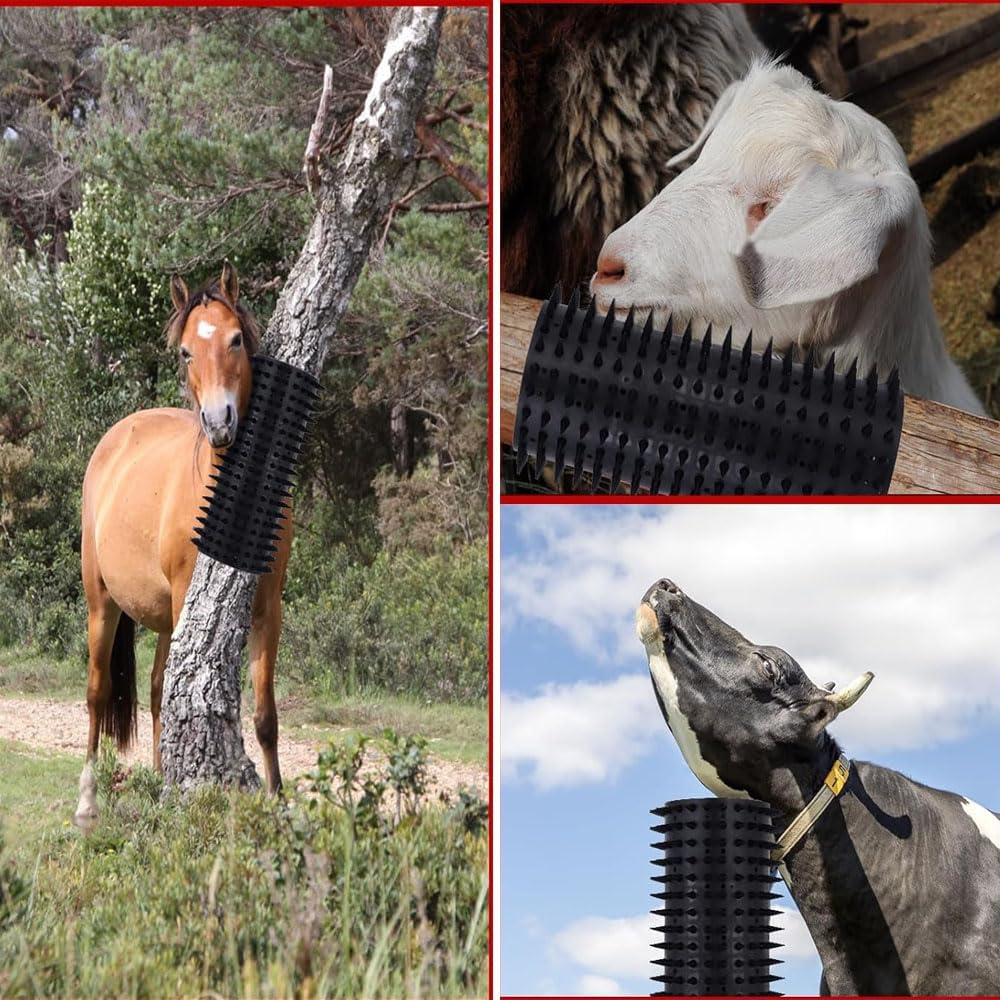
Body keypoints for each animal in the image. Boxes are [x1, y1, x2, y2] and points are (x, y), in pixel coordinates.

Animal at [74, 262, 292, 830]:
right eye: (187, 351)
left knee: (154, 690)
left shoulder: (268, 608)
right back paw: (88, 801)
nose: (219, 423)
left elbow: (265, 717)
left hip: (166, 618)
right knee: (98, 692)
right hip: (103, 603)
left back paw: (158, 781)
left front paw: (280, 805)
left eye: (235, 340)